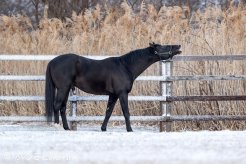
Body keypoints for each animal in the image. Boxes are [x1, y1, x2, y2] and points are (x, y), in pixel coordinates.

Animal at [45, 42, 181, 132]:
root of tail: (52, 62)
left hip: (66, 89)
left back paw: (66, 128)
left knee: (62, 107)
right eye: (164, 46)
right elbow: (126, 112)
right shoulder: (122, 93)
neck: (125, 66)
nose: (178, 46)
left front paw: (103, 128)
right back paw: (57, 126)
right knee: (57, 105)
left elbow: (108, 112)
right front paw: (130, 130)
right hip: (63, 88)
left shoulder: (113, 95)